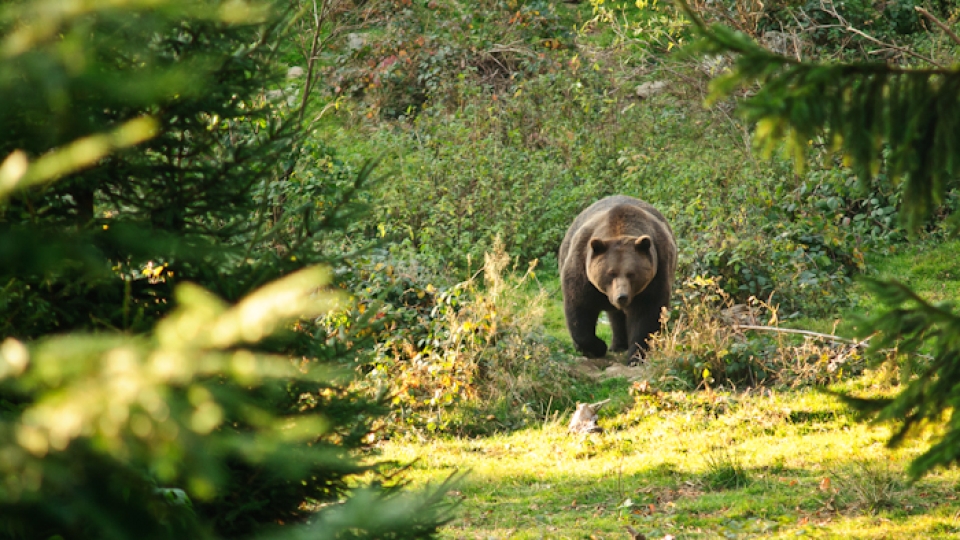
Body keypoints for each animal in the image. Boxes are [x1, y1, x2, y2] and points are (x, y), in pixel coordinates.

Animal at [556, 196, 676, 360]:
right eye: (610, 273)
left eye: (632, 273)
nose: (622, 297)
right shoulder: (582, 271)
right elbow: (580, 309)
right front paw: (597, 347)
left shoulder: (656, 275)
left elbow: (647, 314)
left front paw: (636, 355)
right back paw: (615, 346)